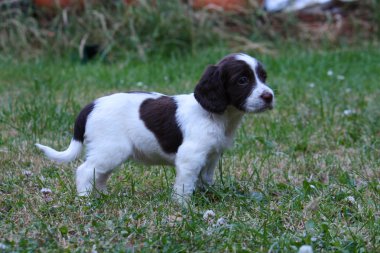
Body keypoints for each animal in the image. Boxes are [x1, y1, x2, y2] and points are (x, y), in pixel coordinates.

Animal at [36, 52, 274, 202]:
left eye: (263, 77)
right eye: (242, 80)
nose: (269, 96)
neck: (218, 116)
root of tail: (91, 105)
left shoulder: (211, 157)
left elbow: (204, 180)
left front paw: (207, 197)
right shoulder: (190, 157)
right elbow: (184, 186)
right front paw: (183, 207)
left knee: (99, 175)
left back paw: (102, 196)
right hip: (111, 150)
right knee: (85, 171)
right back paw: (85, 200)